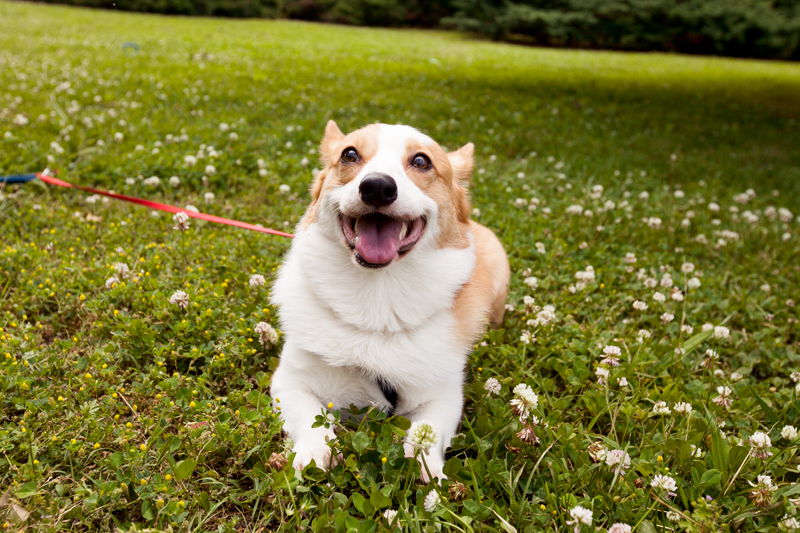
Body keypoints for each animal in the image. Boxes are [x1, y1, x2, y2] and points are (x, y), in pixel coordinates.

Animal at [268, 120, 506, 478]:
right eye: (349, 155)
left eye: (421, 161)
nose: (377, 187)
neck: (377, 300)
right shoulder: (290, 383)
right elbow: (310, 419)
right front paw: (313, 454)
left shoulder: (444, 396)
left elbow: (427, 431)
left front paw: (427, 470)